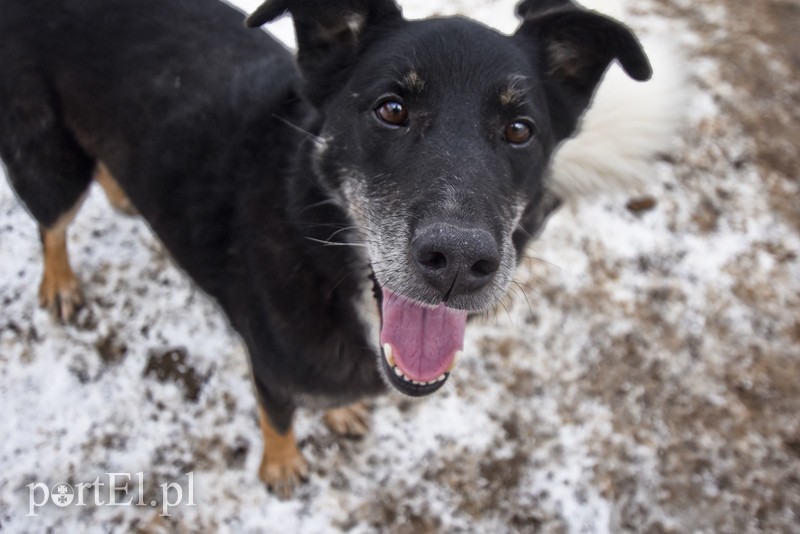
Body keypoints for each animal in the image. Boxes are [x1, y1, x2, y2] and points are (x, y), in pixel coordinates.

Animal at [0, 0, 648, 498]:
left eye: (520, 129)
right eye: (391, 109)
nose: (460, 263)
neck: (318, 247)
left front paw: (338, 411)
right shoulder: (269, 365)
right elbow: (278, 417)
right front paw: (282, 465)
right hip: (47, 158)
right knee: (52, 224)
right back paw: (60, 283)